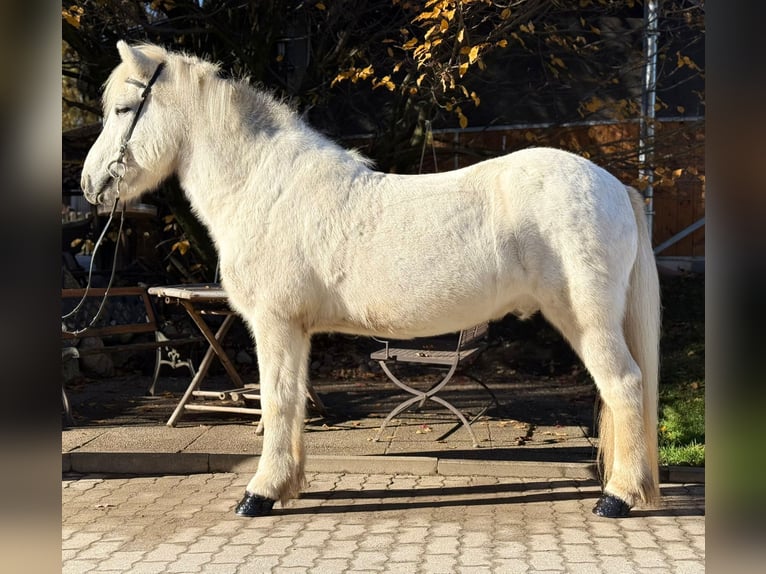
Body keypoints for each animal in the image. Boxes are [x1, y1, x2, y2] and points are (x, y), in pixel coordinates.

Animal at [81, 41, 661, 519]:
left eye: (124, 109)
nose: (90, 185)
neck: (265, 186)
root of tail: (616, 187)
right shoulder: (295, 331)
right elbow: (292, 403)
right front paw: (287, 486)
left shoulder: (275, 323)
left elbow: (278, 400)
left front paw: (260, 494)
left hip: (586, 320)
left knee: (625, 386)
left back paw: (617, 498)